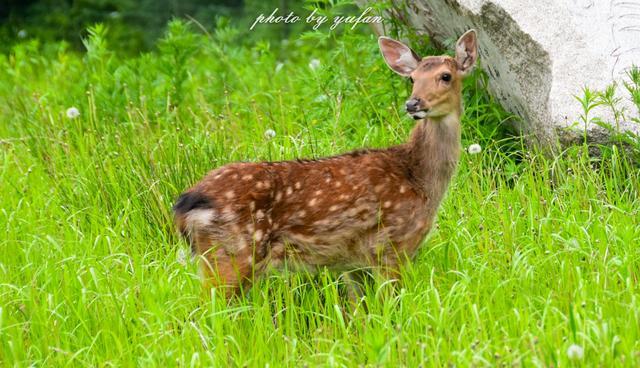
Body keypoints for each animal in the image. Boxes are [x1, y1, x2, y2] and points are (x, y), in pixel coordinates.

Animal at [172, 29, 478, 300]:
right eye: (413, 78)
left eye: (445, 76)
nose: (413, 104)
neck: (420, 179)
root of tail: (188, 204)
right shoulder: (394, 245)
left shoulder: (353, 263)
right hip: (234, 251)